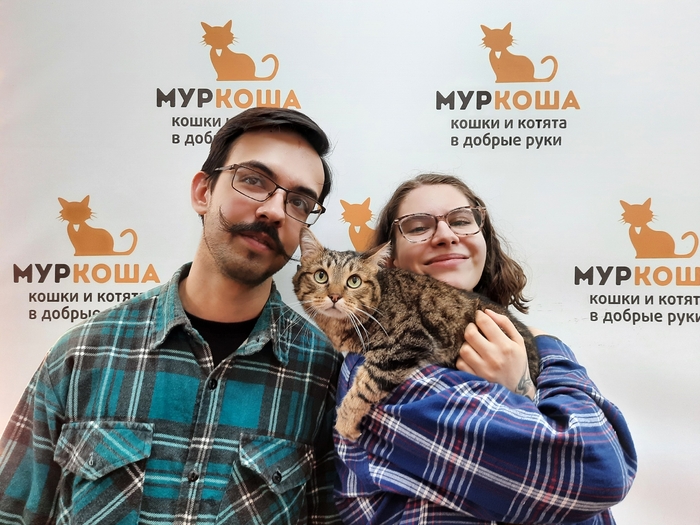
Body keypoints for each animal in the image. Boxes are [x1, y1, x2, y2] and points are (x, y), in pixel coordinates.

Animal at [292, 227, 539, 440]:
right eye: (321, 276)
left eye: (354, 281)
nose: (334, 296)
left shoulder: (405, 343)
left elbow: (366, 385)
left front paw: (345, 423)